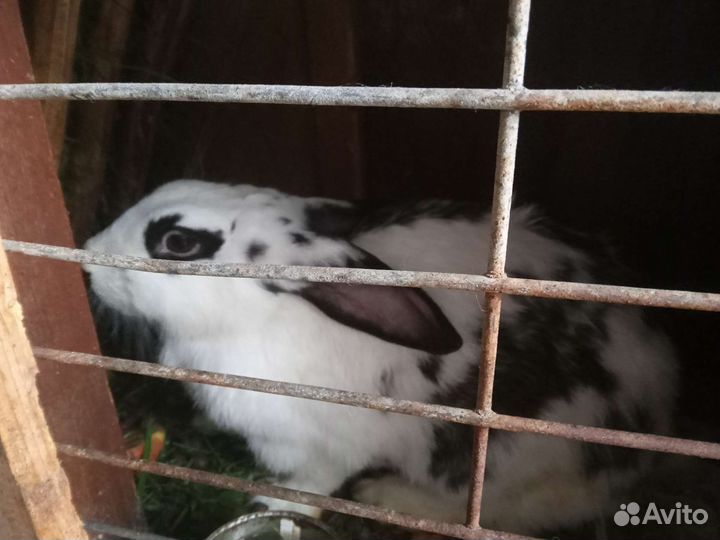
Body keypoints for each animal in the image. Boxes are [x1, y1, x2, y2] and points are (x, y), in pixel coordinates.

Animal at [84, 179, 677, 535]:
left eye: (178, 242)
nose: (87, 256)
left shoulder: (328, 444)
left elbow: (312, 484)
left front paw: (276, 507)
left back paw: (390, 495)